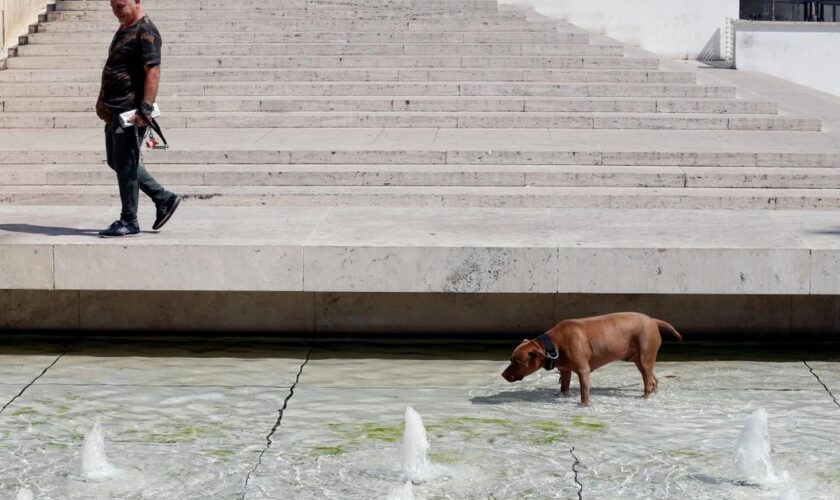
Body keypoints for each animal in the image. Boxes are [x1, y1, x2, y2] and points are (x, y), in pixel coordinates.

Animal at [502, 312, 680, 406]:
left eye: (516, 361)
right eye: (510, 359)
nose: (503, 374)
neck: (553, 344)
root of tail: (652, 320)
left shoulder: (583, 371)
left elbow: (584, 392)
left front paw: (584, 405)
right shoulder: (565, 370)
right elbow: (564, 388)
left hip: (644, 359)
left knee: (648, 382)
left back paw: (644, 398)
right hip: (640, 360)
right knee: (654, 380)